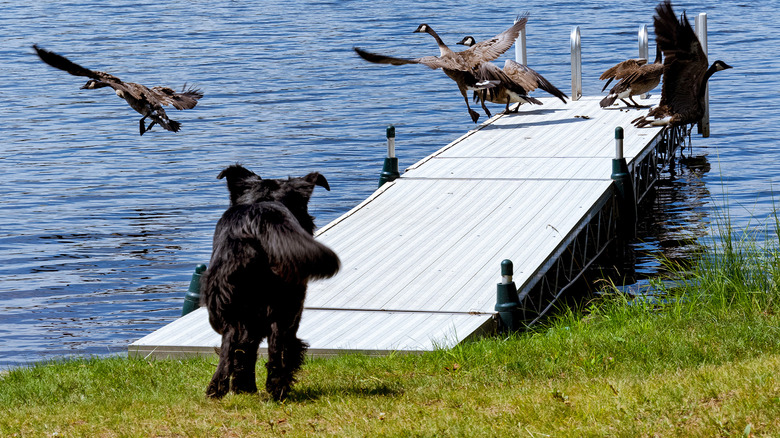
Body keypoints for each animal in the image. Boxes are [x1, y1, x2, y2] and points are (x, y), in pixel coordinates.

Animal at [200, 163, 340, 400]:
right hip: (286, 306)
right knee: (278, 346)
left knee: (233, 346)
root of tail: (258, 221)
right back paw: (278, 388)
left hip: (230, 306)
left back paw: (222, 389)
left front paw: (243, 387)